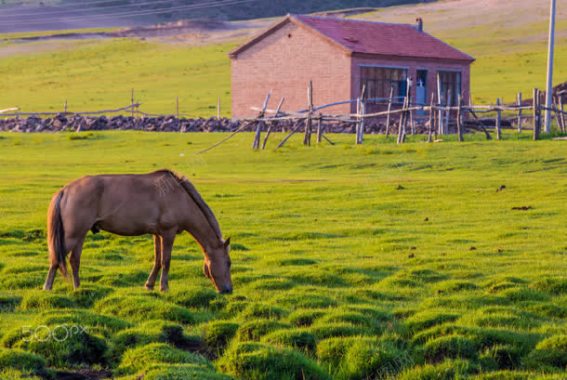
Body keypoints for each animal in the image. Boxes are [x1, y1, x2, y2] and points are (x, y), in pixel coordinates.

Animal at [41, 170, 233, 294]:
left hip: (80, 234)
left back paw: (78, 287)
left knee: (74, 260)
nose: (228, 290)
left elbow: (157, 260)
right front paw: (164, 287)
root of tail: (65, 190)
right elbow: (166, 261)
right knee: (56, 258)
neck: (179, 196)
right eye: (229, 263)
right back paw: (47, 287)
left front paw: (149, 285)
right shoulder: (168, 233)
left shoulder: (157, 234)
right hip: (72, 235)